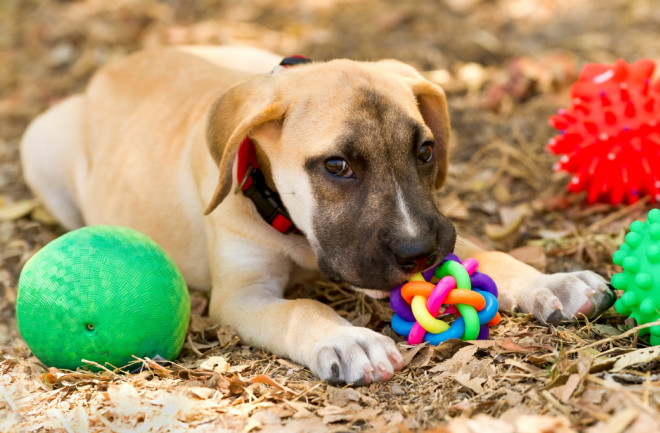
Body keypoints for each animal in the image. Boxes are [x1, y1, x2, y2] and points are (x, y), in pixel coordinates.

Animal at [18, 47, 612, 384]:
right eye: (336, 166)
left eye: (425, 151)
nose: (419, 253)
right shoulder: (241, 295)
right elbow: (300, 309)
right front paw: (349, 341)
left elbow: (491, 254)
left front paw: (553, 282)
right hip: (38, 144)